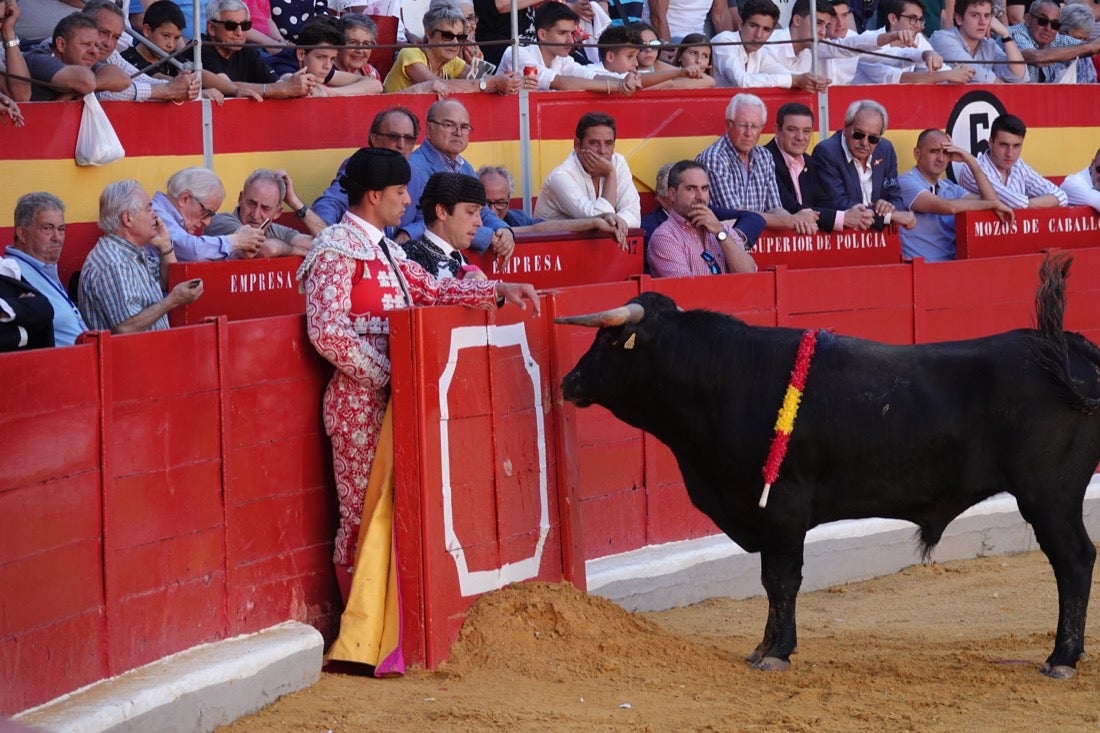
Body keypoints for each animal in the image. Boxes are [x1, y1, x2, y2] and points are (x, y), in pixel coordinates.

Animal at [558, 254, 1100, 677]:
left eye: (608, 341)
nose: (568, 381)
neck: (722, 376)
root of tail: (1065, 347)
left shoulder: (783, 506)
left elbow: (782, 578)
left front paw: (775, 653)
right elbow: (772, 579)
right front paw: (765, 647)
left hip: (1049, 494)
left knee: (1073, 560)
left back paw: (1061, 659)